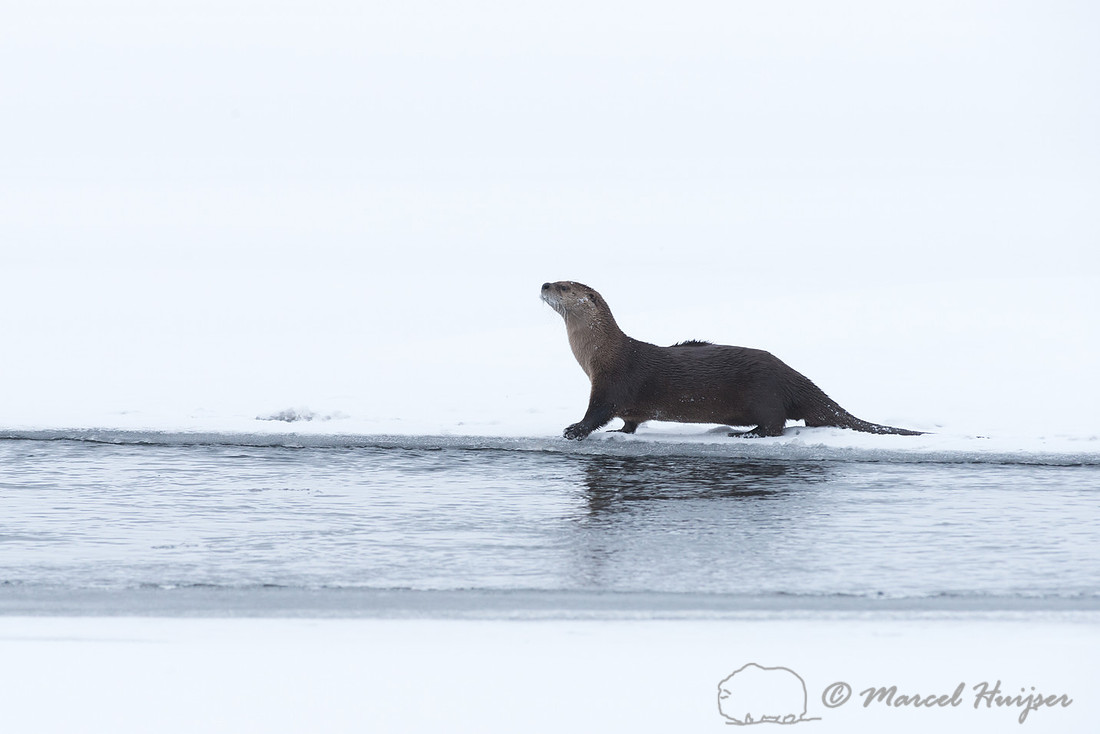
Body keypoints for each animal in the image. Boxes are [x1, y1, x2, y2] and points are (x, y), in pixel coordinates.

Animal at [541, 281, 924, 440]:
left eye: (564, 286)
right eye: (556, 281)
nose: (544, 283)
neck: (600, 354)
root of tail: (793, 375)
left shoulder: (612, 382)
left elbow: (598, 412)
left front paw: (574, 430)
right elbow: (629, 421)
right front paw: (623, 432)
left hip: (763, 393)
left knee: (776, 424)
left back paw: (747, 435)